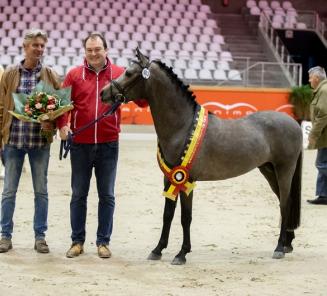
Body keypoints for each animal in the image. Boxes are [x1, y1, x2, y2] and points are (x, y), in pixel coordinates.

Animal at [101, 49, 304, 266]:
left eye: (129, 73)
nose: (103, 93)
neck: (182, 127)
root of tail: (294, 123)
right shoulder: (169, 179)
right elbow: (168, 215)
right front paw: (157, 250)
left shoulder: (186, 179)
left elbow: (185, 217)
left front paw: (181, 254)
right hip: (268, 170)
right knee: (286, 202)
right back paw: (287, 244)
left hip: (284, 170)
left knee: (284, 204)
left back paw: (279, 248)